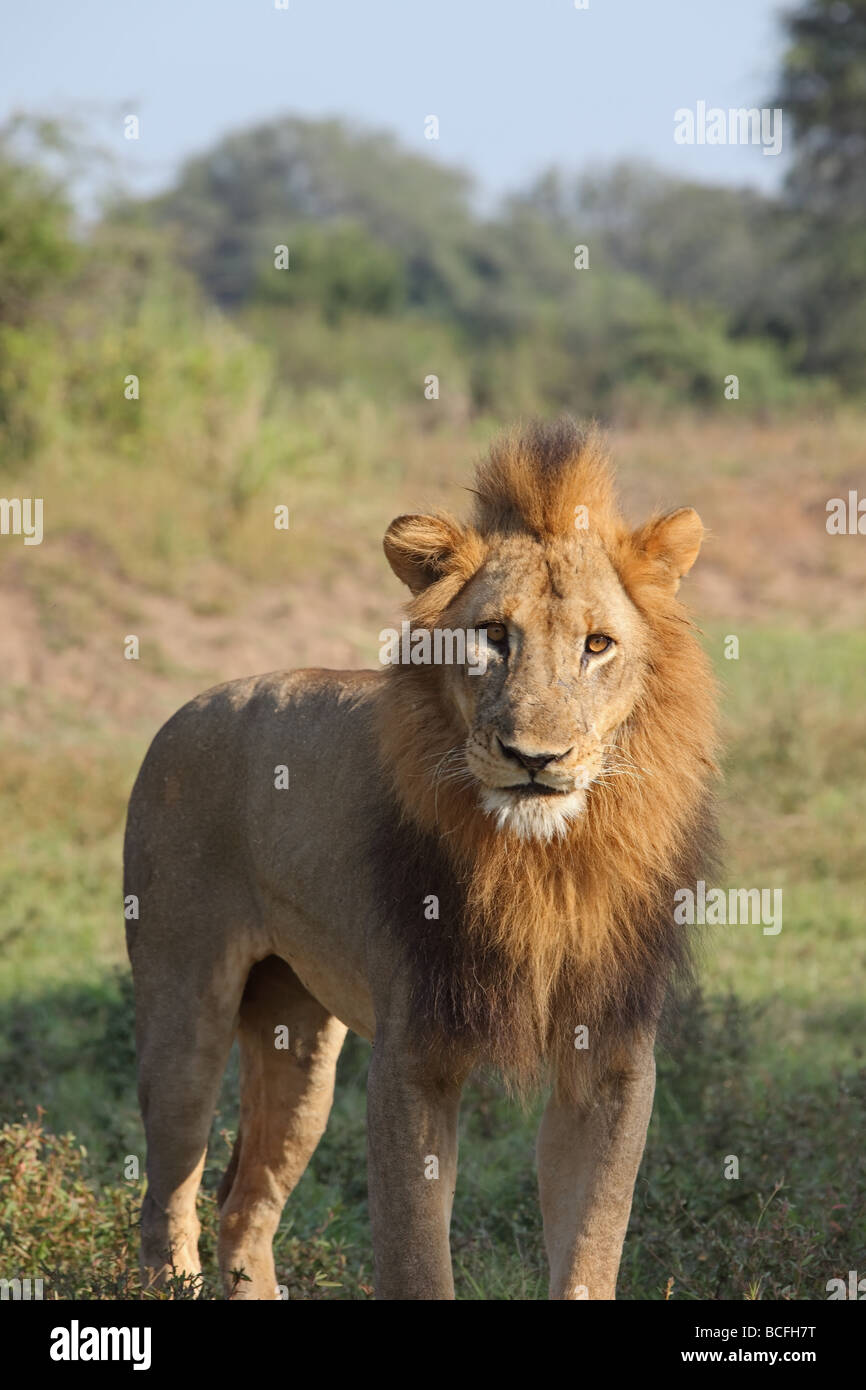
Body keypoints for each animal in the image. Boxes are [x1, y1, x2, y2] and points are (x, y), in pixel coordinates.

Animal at [123, 417, 717, 1295]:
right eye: (493, 636)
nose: (535, 758)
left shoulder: (611, 1055)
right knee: (168, 1195)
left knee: (245, 1202)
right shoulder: (416, 1054)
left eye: (598, 645)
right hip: (183, 1013)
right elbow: (415, 1254)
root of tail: (187, 707)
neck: (543, 865)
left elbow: (590, 1245)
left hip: (299, 1046)